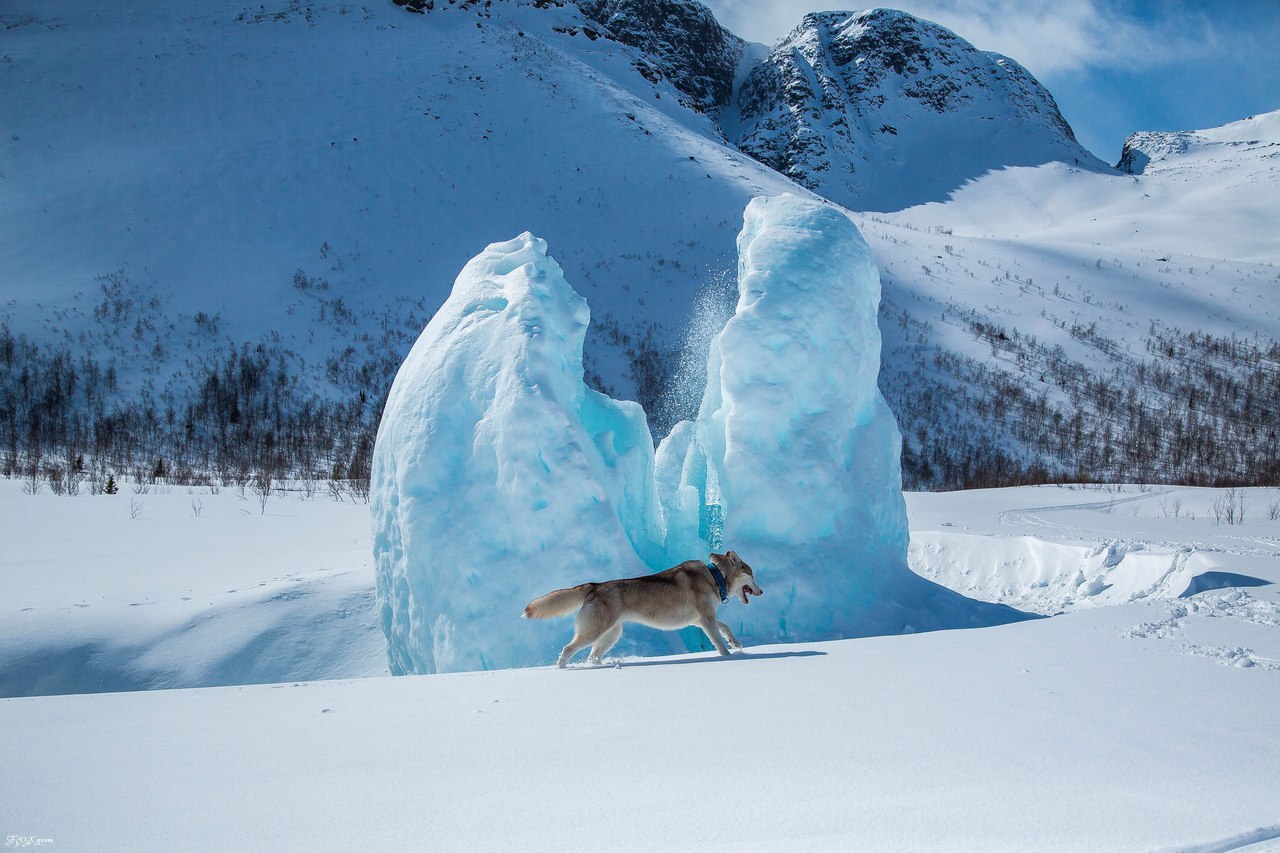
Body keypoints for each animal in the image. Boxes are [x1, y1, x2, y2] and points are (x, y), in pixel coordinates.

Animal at [519, 548, 757, 666]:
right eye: (753, 576)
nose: (761, 591)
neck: (715, 577)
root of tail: (593, 585)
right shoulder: (706, 619)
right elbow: (718, 642)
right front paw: (729, 656)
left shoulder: (701, 620)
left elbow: (725, 627)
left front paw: (736, 643)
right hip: (594, 631)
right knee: (568, 649)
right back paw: (561, 667)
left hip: (610, 635)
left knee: (592, 656)